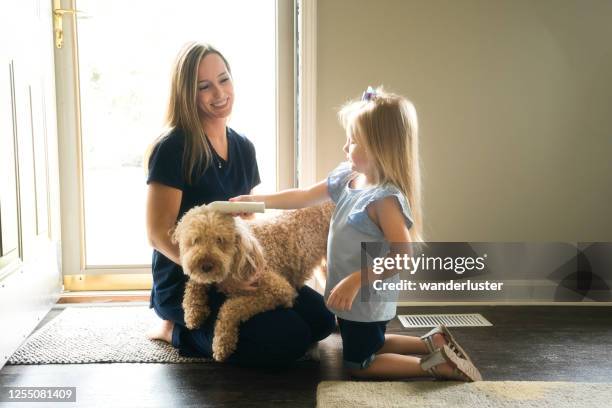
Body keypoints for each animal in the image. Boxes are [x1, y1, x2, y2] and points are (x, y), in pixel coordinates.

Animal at [172, 202, 334, 362]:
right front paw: (194, 312)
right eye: (195, 240)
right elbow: (193, 284)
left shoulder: (278, 290)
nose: (206, 266)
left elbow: (230, 308)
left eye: (220, 240)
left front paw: (222, 343)